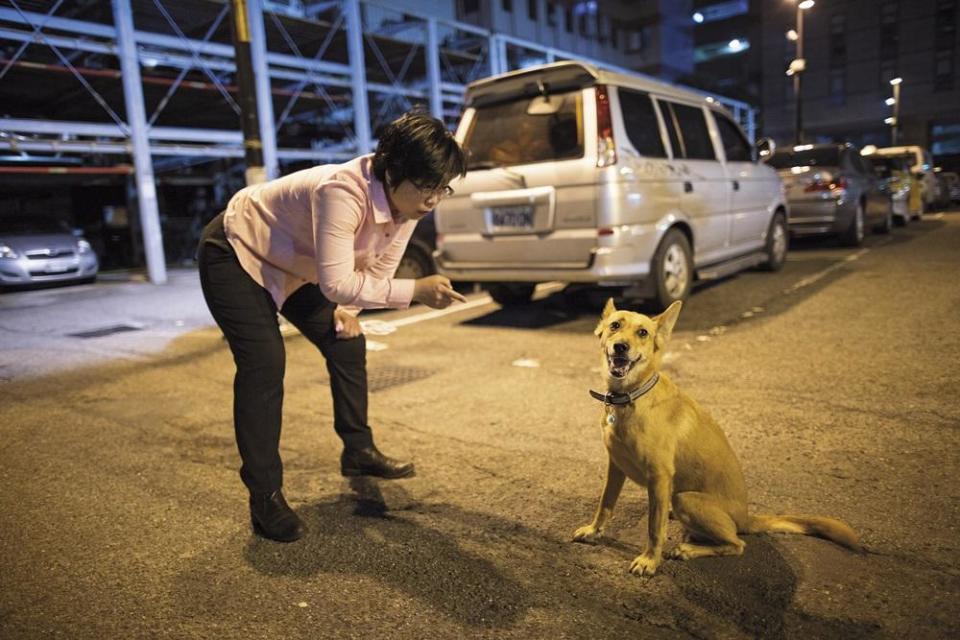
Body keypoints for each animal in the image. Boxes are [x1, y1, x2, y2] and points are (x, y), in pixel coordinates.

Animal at [572, 298, 860, 576]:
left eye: (643, 332)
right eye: (615, 325)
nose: (620, 347)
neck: (632, 396)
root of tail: (746, 517)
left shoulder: (659, 476)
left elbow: (654, 527)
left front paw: (649, 560)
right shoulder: (616, 466)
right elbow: (605, 504)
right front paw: (594, 531)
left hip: (685, 498)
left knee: (736, 543)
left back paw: (688, 549)